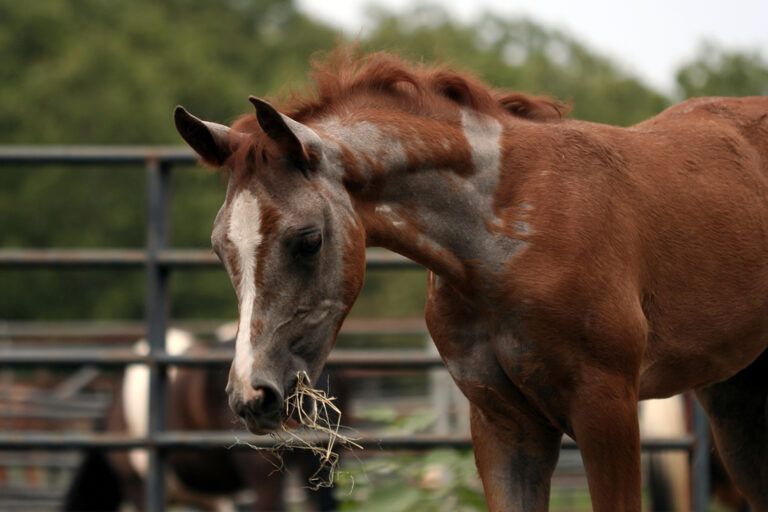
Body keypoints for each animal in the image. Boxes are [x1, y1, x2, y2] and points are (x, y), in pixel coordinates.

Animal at [173, 49, 768, 511]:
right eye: (220, 247)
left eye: (308, 240)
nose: (251, 396)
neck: (507, 235)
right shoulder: (503, 424)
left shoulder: (607, 407)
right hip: (733, 398)